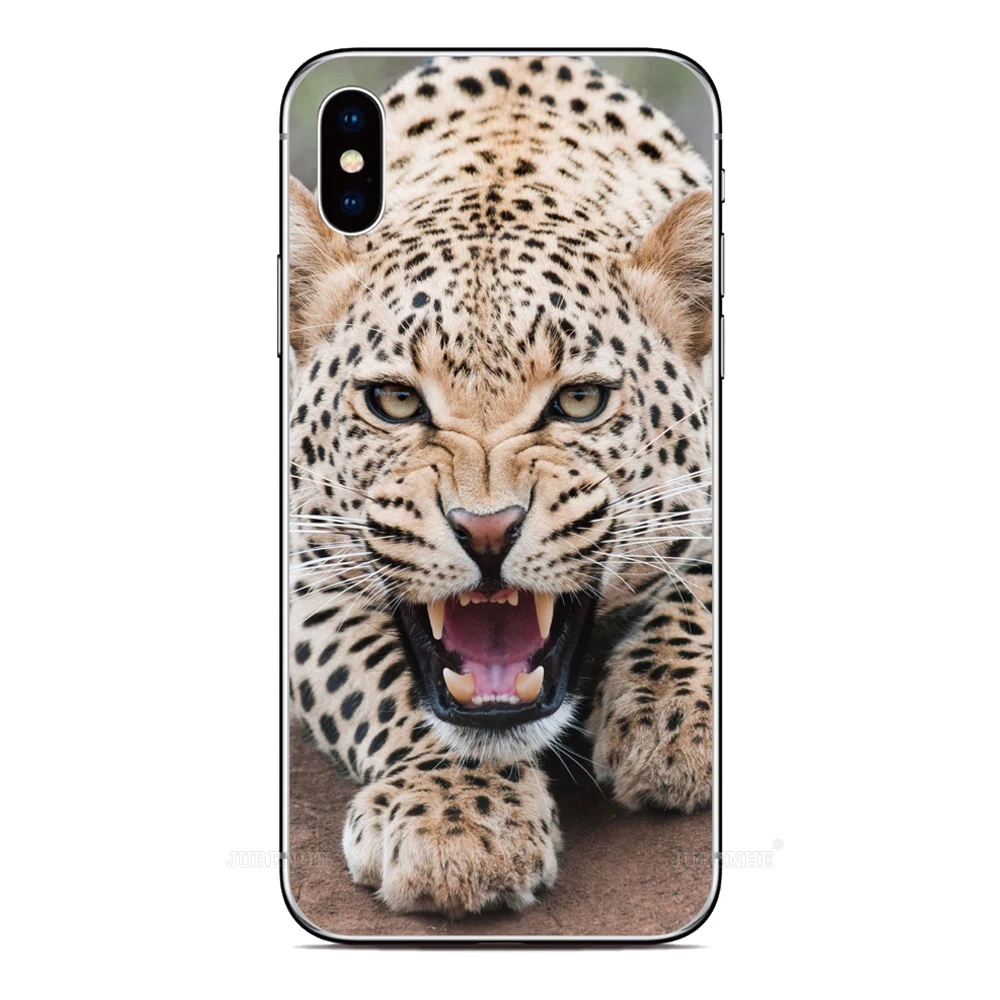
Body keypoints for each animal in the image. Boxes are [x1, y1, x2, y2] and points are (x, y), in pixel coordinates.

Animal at [287, 55, 715, 919]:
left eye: (580, 401)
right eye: (395, 401)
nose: (486, 530)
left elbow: (708, 584)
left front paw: (671, 719)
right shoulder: (303, 567)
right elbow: (376, 676)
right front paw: (456, 820)